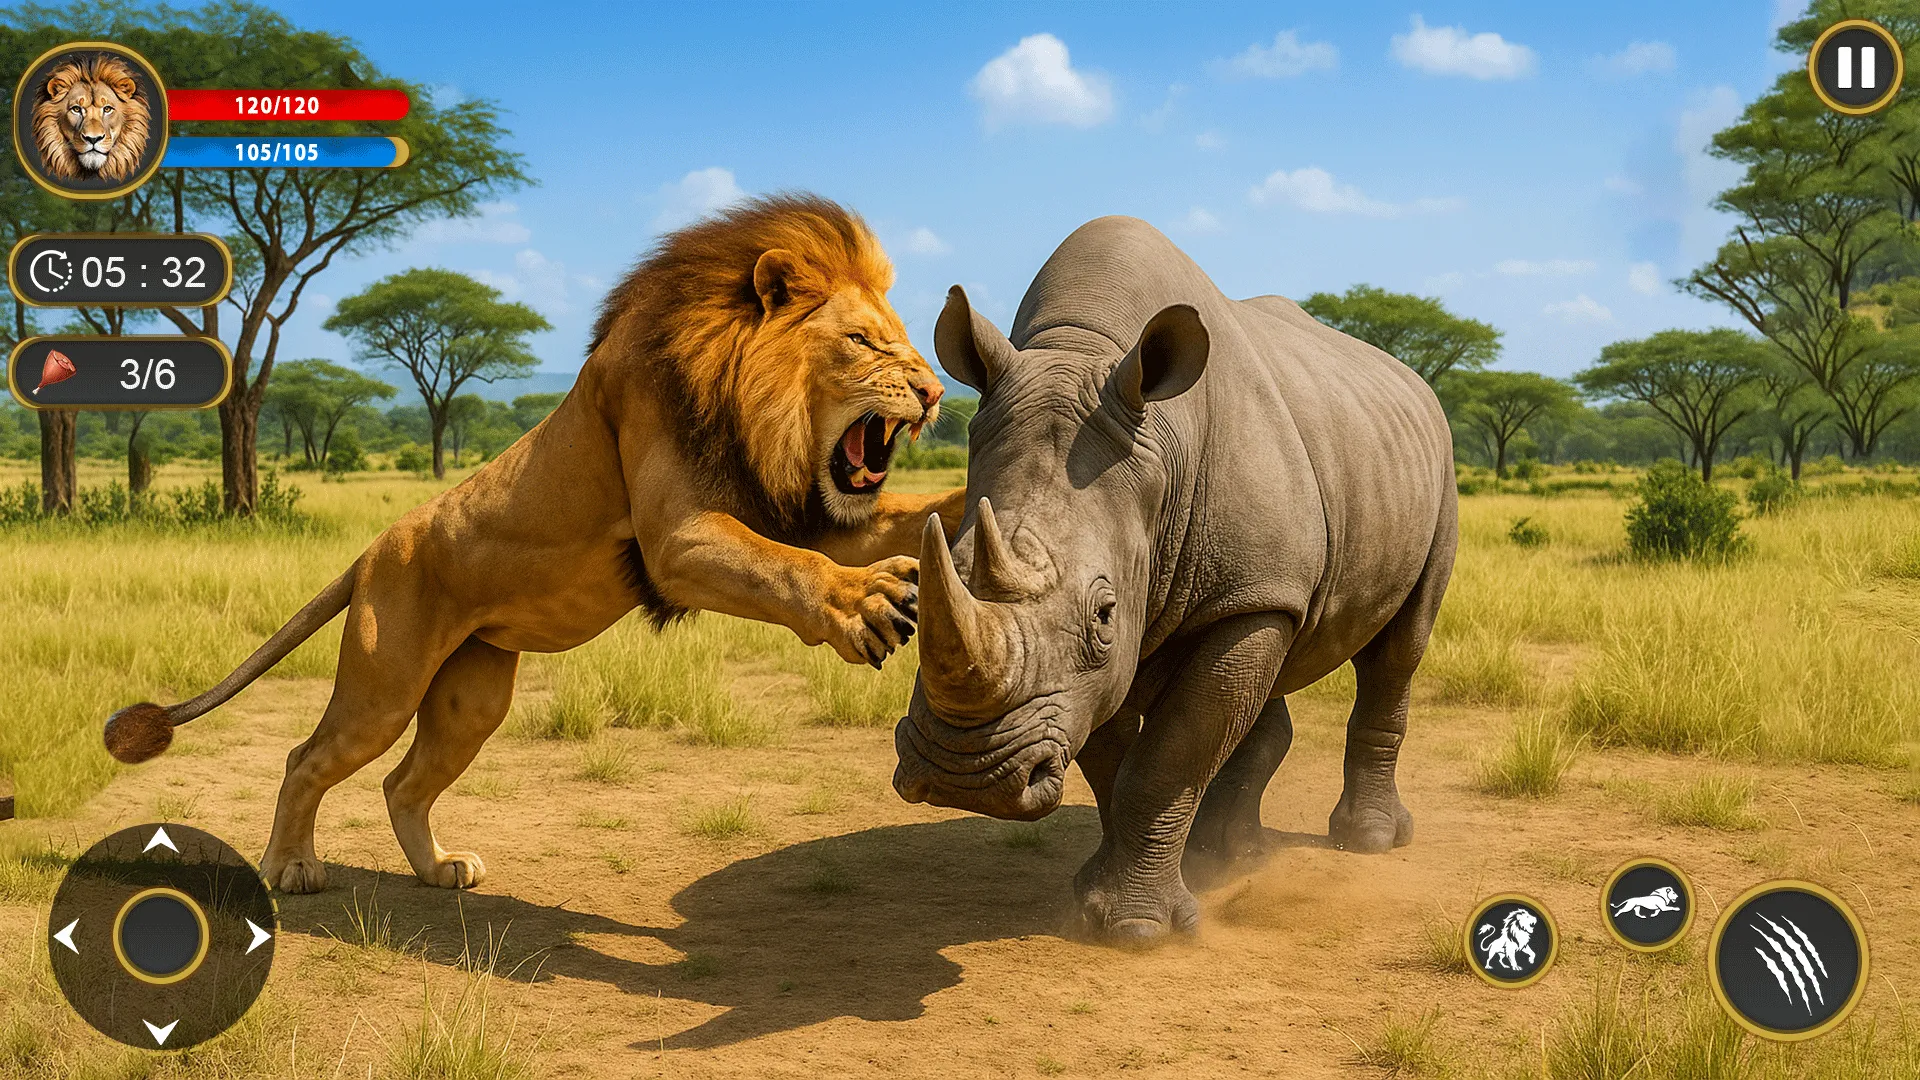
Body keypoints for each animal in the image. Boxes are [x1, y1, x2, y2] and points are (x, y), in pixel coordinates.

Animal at [104, 195, 966, 894]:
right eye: (863, 342)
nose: (934, 393)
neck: (749, 400)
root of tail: (372, 550)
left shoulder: (805, 511)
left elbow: (890, 520)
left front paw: (963, 507)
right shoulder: (678, 542)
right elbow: (787, 567)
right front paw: (867, 602)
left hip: (473, 698)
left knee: (401, 785)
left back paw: (440, 870)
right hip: (383, 689)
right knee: (306, 759)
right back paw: (290, 869)